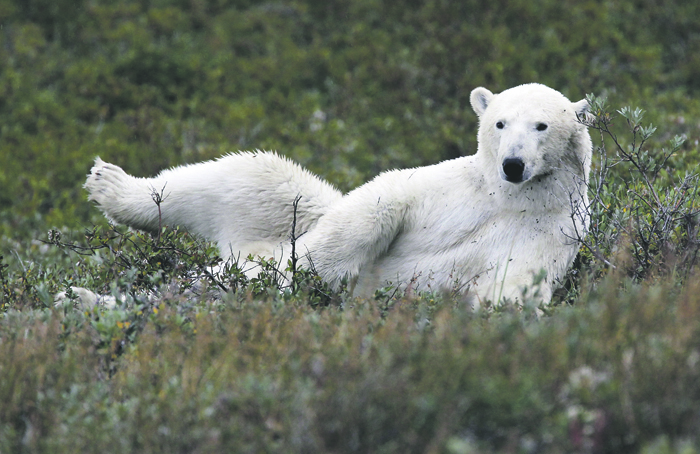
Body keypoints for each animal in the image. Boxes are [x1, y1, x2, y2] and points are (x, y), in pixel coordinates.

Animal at [85, 84, 592, 306]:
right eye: (500, 122)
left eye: (541, 125)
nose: (513, 164)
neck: (507, 198)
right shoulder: (447, 186)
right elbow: (376, 207)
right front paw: (300, 274)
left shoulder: (550, 231)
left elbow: (512, 288)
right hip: (284, 213)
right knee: (248, 174)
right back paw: (110, 186)